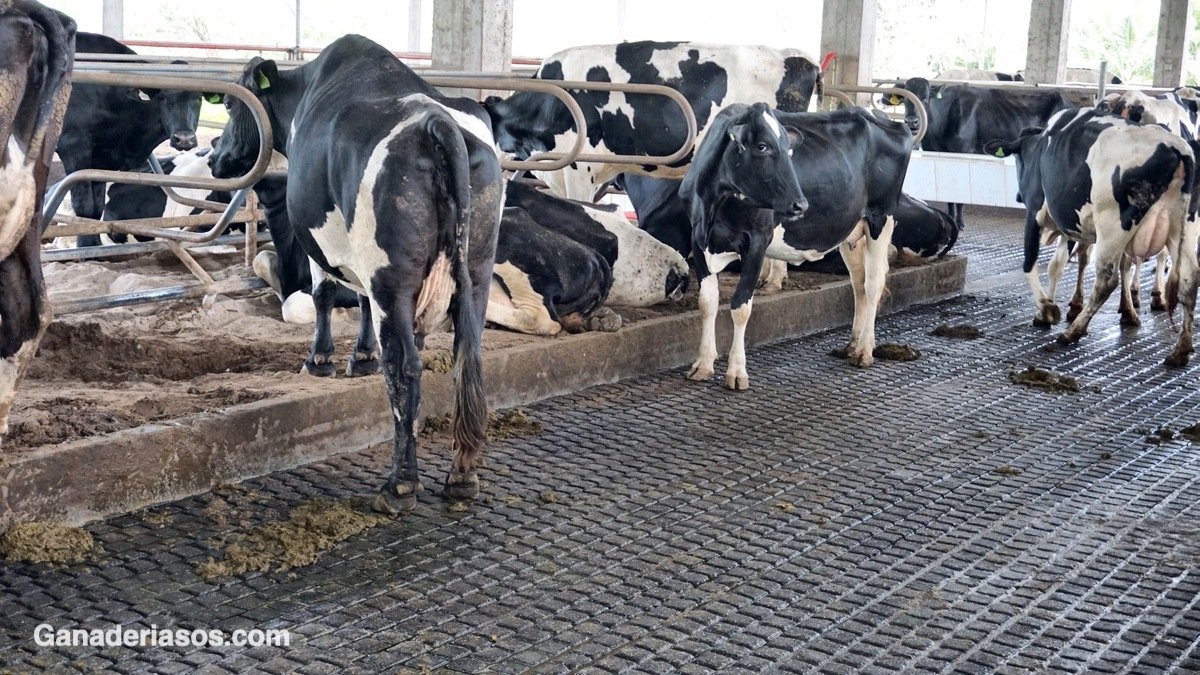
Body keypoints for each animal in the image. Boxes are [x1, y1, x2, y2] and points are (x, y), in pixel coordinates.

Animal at [208, 34, 504, 509]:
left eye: (234, 106)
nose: (215, 158)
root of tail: (437, 125)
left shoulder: (321, 242)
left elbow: (324, 295)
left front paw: (321, 360)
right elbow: (359, 301)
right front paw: (362, 356)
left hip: (392, 278)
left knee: (404, 367)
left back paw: (399, 485)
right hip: (476, 272)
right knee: (468, 359)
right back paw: (461, 477)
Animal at [888, 77, 1075, 227]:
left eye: (926, 98)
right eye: (904, 99)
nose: (912, 121)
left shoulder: (964, 152)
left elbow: (960, 197)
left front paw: (959, 222)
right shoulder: (936, 153)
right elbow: (949, 195)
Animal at [984, 107, 1200, 365]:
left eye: (1019, 159)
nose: (1018, 196)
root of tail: (1176, 148)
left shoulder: (1034, 211)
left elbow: (1030, 263)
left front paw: (1046, 309)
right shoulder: (1070, 223)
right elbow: (1056, 266)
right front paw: (1047, 308)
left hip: (1112, 225)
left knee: (1107, 280)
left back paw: (1073, 331)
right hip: (1183, 229)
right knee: (1189, 278)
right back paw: (1181, 349)